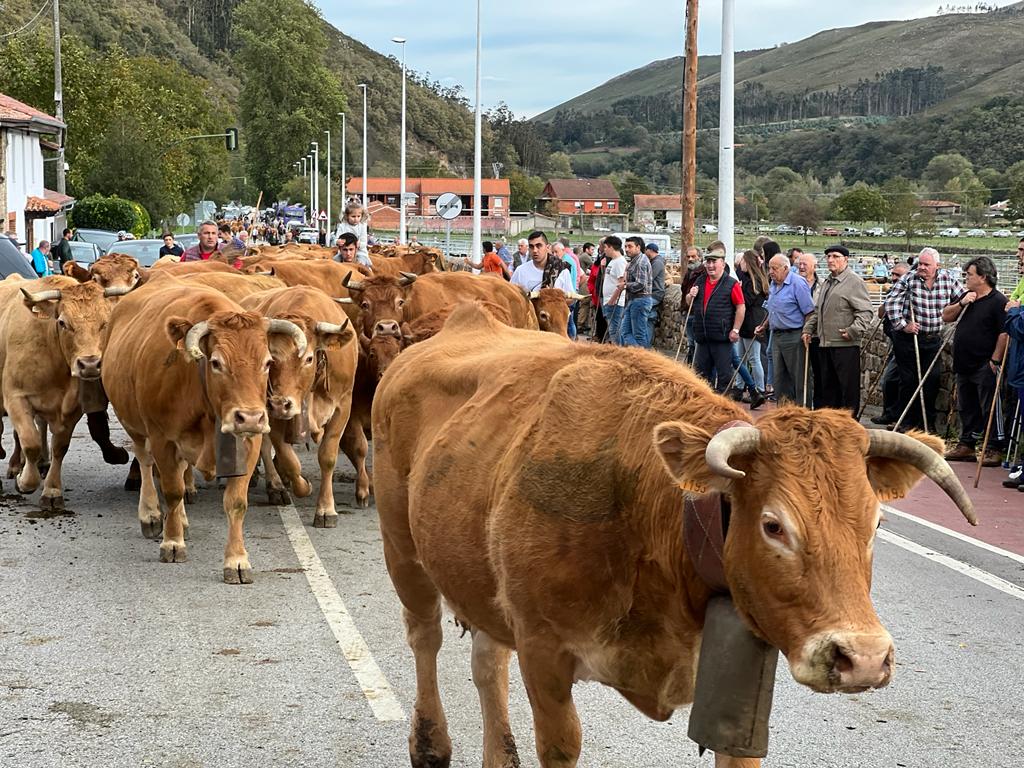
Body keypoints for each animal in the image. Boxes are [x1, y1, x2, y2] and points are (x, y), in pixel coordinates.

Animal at [0, 276, 130, 512]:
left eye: (105, 322)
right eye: (62, 322)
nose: (90, 364)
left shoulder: (71, 408)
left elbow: (60, 447)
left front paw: (52, 491)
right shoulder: (16, 397)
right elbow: (30, 442)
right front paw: (24, 482)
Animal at [102, 278, 307, 581]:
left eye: (268, 362)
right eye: (216, 363)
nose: (250, 418)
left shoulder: (248, 443)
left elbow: (236, 502)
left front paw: (237, 560)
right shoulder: (162, 439)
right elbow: (172, 490)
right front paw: (172, 542)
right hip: (134, 426)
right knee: (146, 463)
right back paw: (151, 515)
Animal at [238, 286, 358, 528]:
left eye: (309, 358)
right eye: (271, 360)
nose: (280, 404)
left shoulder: (343, 407)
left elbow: (327, 457)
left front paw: (326, 509)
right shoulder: (273, 414)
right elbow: (290, 460)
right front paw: (303, 486)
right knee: (264, 447)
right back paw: (275, 486)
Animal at [372, 305, 970, 768]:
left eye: (876, 524)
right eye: (773, 525)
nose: (863, 658)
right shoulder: (543, 651)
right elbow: (560, 743)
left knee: (486, 663)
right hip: (402, 549)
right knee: (425, 636)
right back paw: (430, 745)